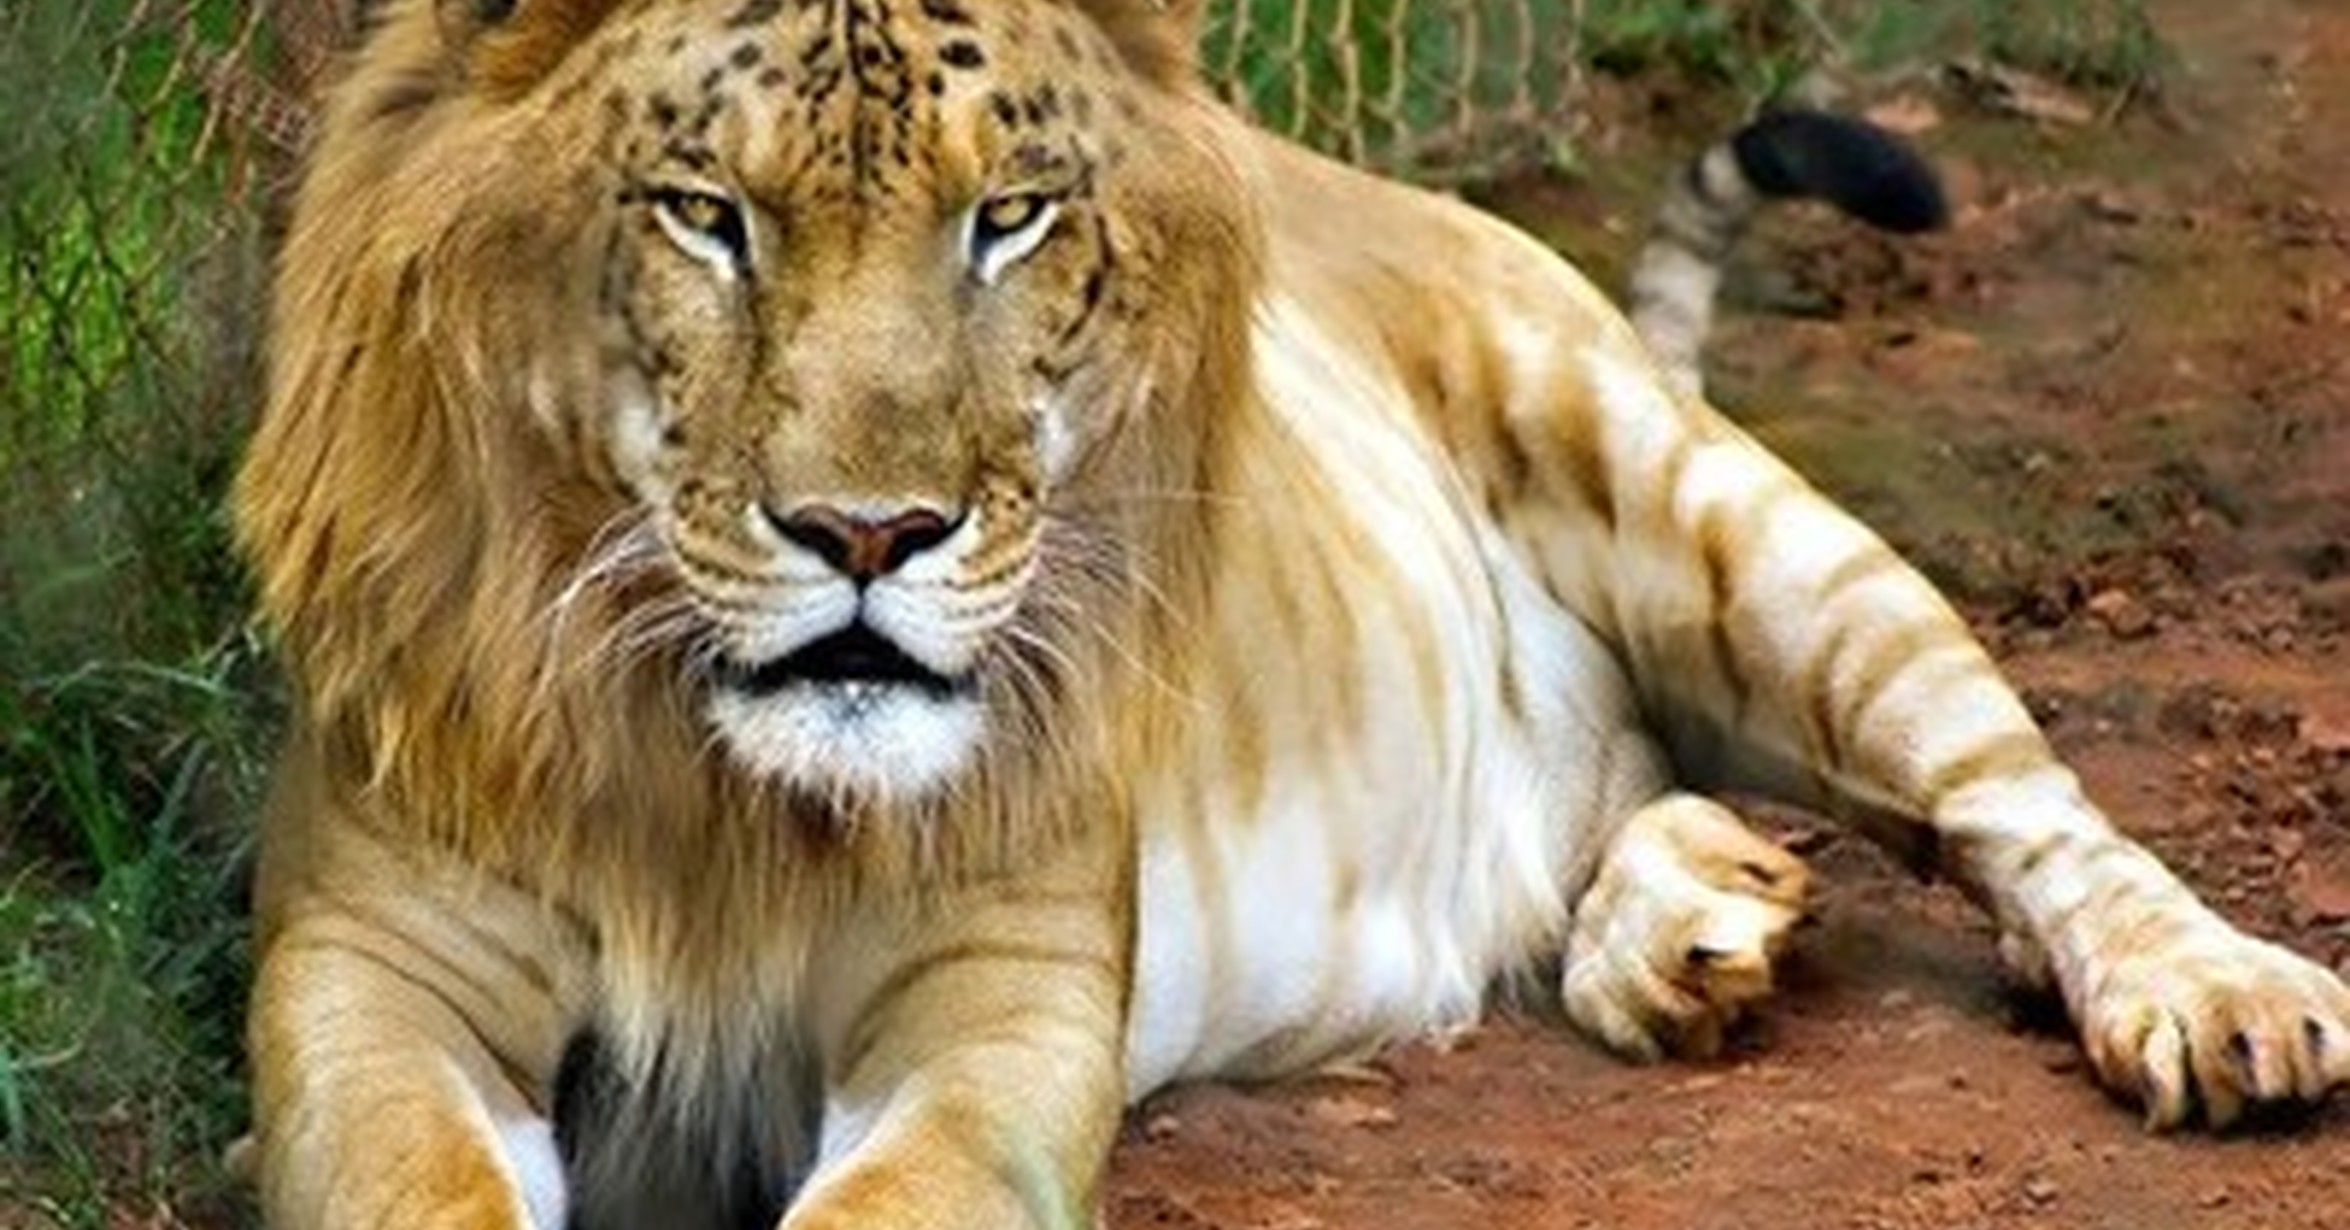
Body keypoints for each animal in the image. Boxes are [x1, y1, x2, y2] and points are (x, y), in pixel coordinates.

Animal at [230, 1, 2350, 1227]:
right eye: (705, 218)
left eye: (1009, 220)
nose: (871, 531)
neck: (719, 781)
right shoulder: (370, 982)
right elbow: (417, 1182)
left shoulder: (1000, 1007)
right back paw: (1689, 933)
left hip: (1715, 512)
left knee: (2025, 808)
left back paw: (2218, 1004)